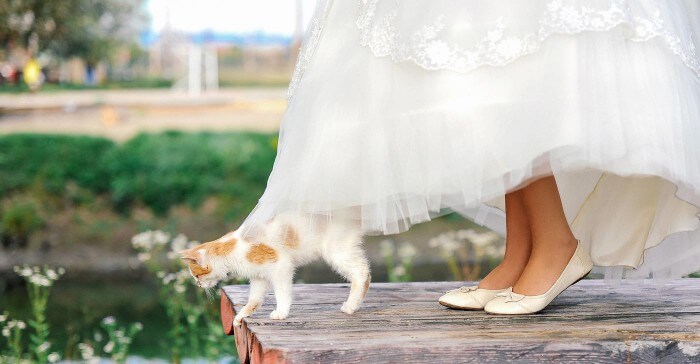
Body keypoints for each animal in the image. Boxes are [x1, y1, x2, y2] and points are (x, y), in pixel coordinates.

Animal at [178, 210, 372, 328]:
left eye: (196, 276)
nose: (198, 285)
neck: (232, 248)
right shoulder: (259, 277)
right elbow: (254, 300)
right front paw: (241, 316)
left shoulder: (281, 265)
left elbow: (282, 293)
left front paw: (281, 313)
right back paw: (354, 305)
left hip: (337, 251)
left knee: (362, 273)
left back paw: (351, 305)